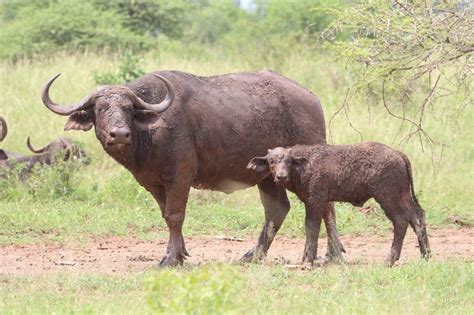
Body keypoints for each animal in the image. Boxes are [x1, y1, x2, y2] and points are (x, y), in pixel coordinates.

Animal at [39, 69, 344, 266]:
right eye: (101, 108)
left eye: (127, 108)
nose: (119, 134)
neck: (150, 133)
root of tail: (312, 98)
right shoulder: (153, 183)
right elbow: (165, 215)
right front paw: (180, 252)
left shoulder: (179, 177)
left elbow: (175, 215)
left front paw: (170, 259)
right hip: (268, 175)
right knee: (277, 209)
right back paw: (252, 255)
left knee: (325, 205)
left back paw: (334, 254)